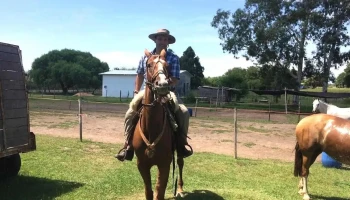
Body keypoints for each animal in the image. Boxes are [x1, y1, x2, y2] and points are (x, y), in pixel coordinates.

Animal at [132, 48, 186, 200]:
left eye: (167, 65)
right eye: (148, 65)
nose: (162, 85)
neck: (151, 128)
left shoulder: (164, 164)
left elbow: (159, 191)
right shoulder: (142, 164)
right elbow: (149, 191)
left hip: (179, 152)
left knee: (180, 163)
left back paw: (180, 189)